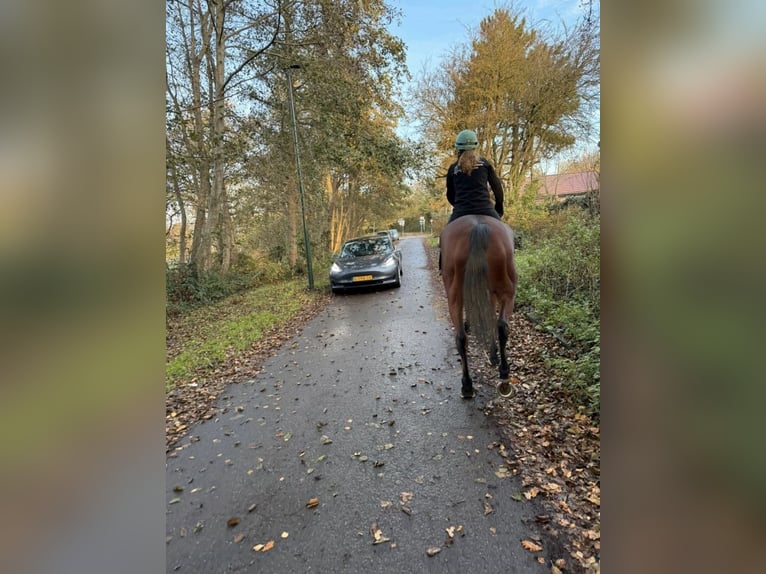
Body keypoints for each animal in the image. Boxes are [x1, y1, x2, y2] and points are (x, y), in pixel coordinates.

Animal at [440, 215, 517, 399]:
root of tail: (478, 227)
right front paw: (493, 355)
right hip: (507, 293)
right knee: (501, 327)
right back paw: (503, 374)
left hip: (455, 297)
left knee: (461, 337)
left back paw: (468, 385)